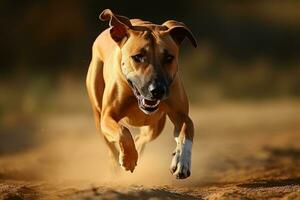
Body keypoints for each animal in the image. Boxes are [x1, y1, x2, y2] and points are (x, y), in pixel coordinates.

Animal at [85, 8, 196, 179]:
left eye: (169, 57)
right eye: (138, 57)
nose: (157, 90)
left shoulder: (181, 114)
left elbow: (188, 128)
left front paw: (181, 162)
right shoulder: (107, 116)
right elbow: (122, 131)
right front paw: (129, 158)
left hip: (155, 125)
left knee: (142, 137)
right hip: (98, 115)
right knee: (111, 146)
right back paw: (117, 164)